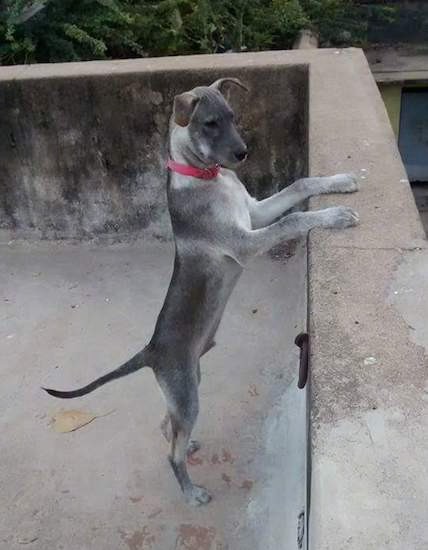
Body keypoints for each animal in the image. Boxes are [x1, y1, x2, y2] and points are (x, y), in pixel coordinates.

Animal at [44, 78, 358, 508]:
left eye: (233, 117)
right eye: (209, 124)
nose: (243, 153)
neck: (206, 176)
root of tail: (150, 350)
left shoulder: (254, 213)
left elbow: (299, 185)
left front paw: (340, 182)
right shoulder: (244, 242)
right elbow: (293, 219)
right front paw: (335, 216)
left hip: (189, 383)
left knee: (168, 425)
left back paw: (188, 444)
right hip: (187, 391)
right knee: (171, 451)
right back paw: (191, 491)